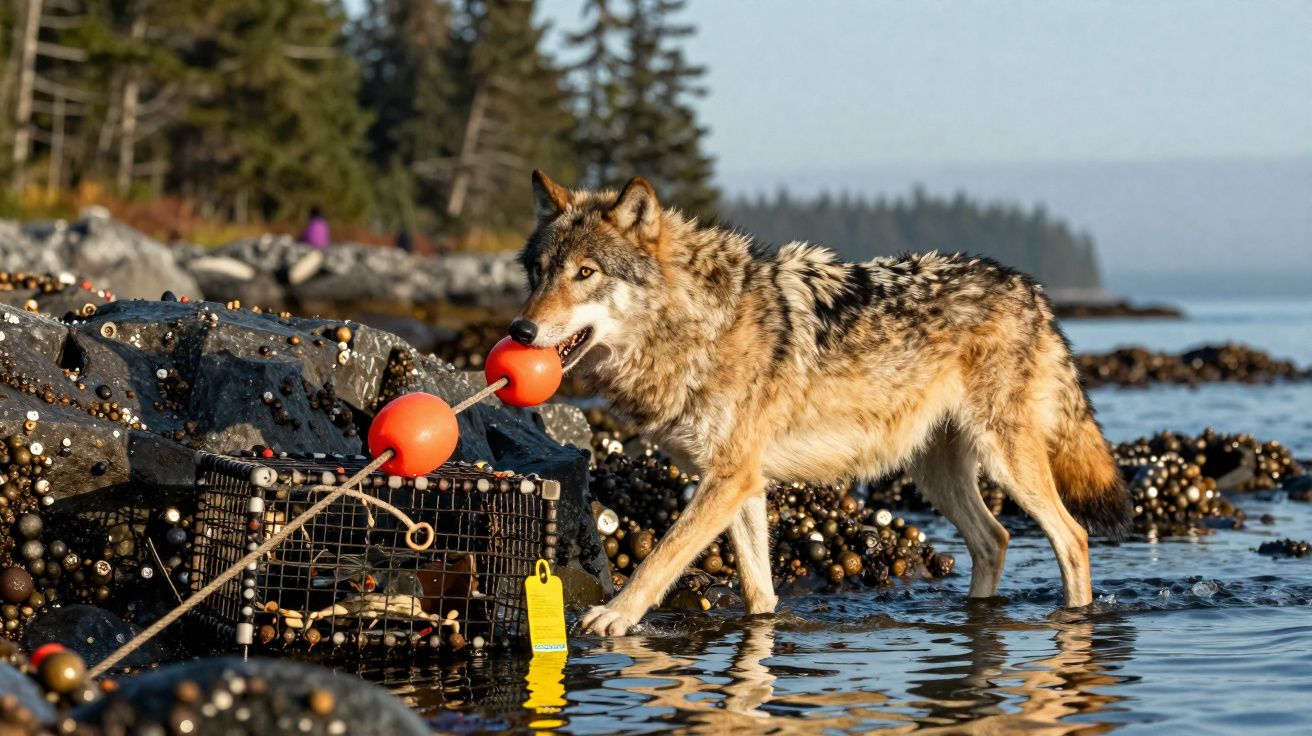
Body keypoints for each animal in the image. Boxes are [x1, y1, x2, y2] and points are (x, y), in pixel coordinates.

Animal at [512, 170, 1131, 636]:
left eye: (585, 273)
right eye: (538, 274)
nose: (521, 330)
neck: (699, 324)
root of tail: (1031, 289)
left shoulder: (727, 480)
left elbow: (660, 558)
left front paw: (614, 616)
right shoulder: (740, 483)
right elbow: (758, 592)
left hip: (1007, 462)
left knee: (1072, 537)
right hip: (936, 473)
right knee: (995, 540)